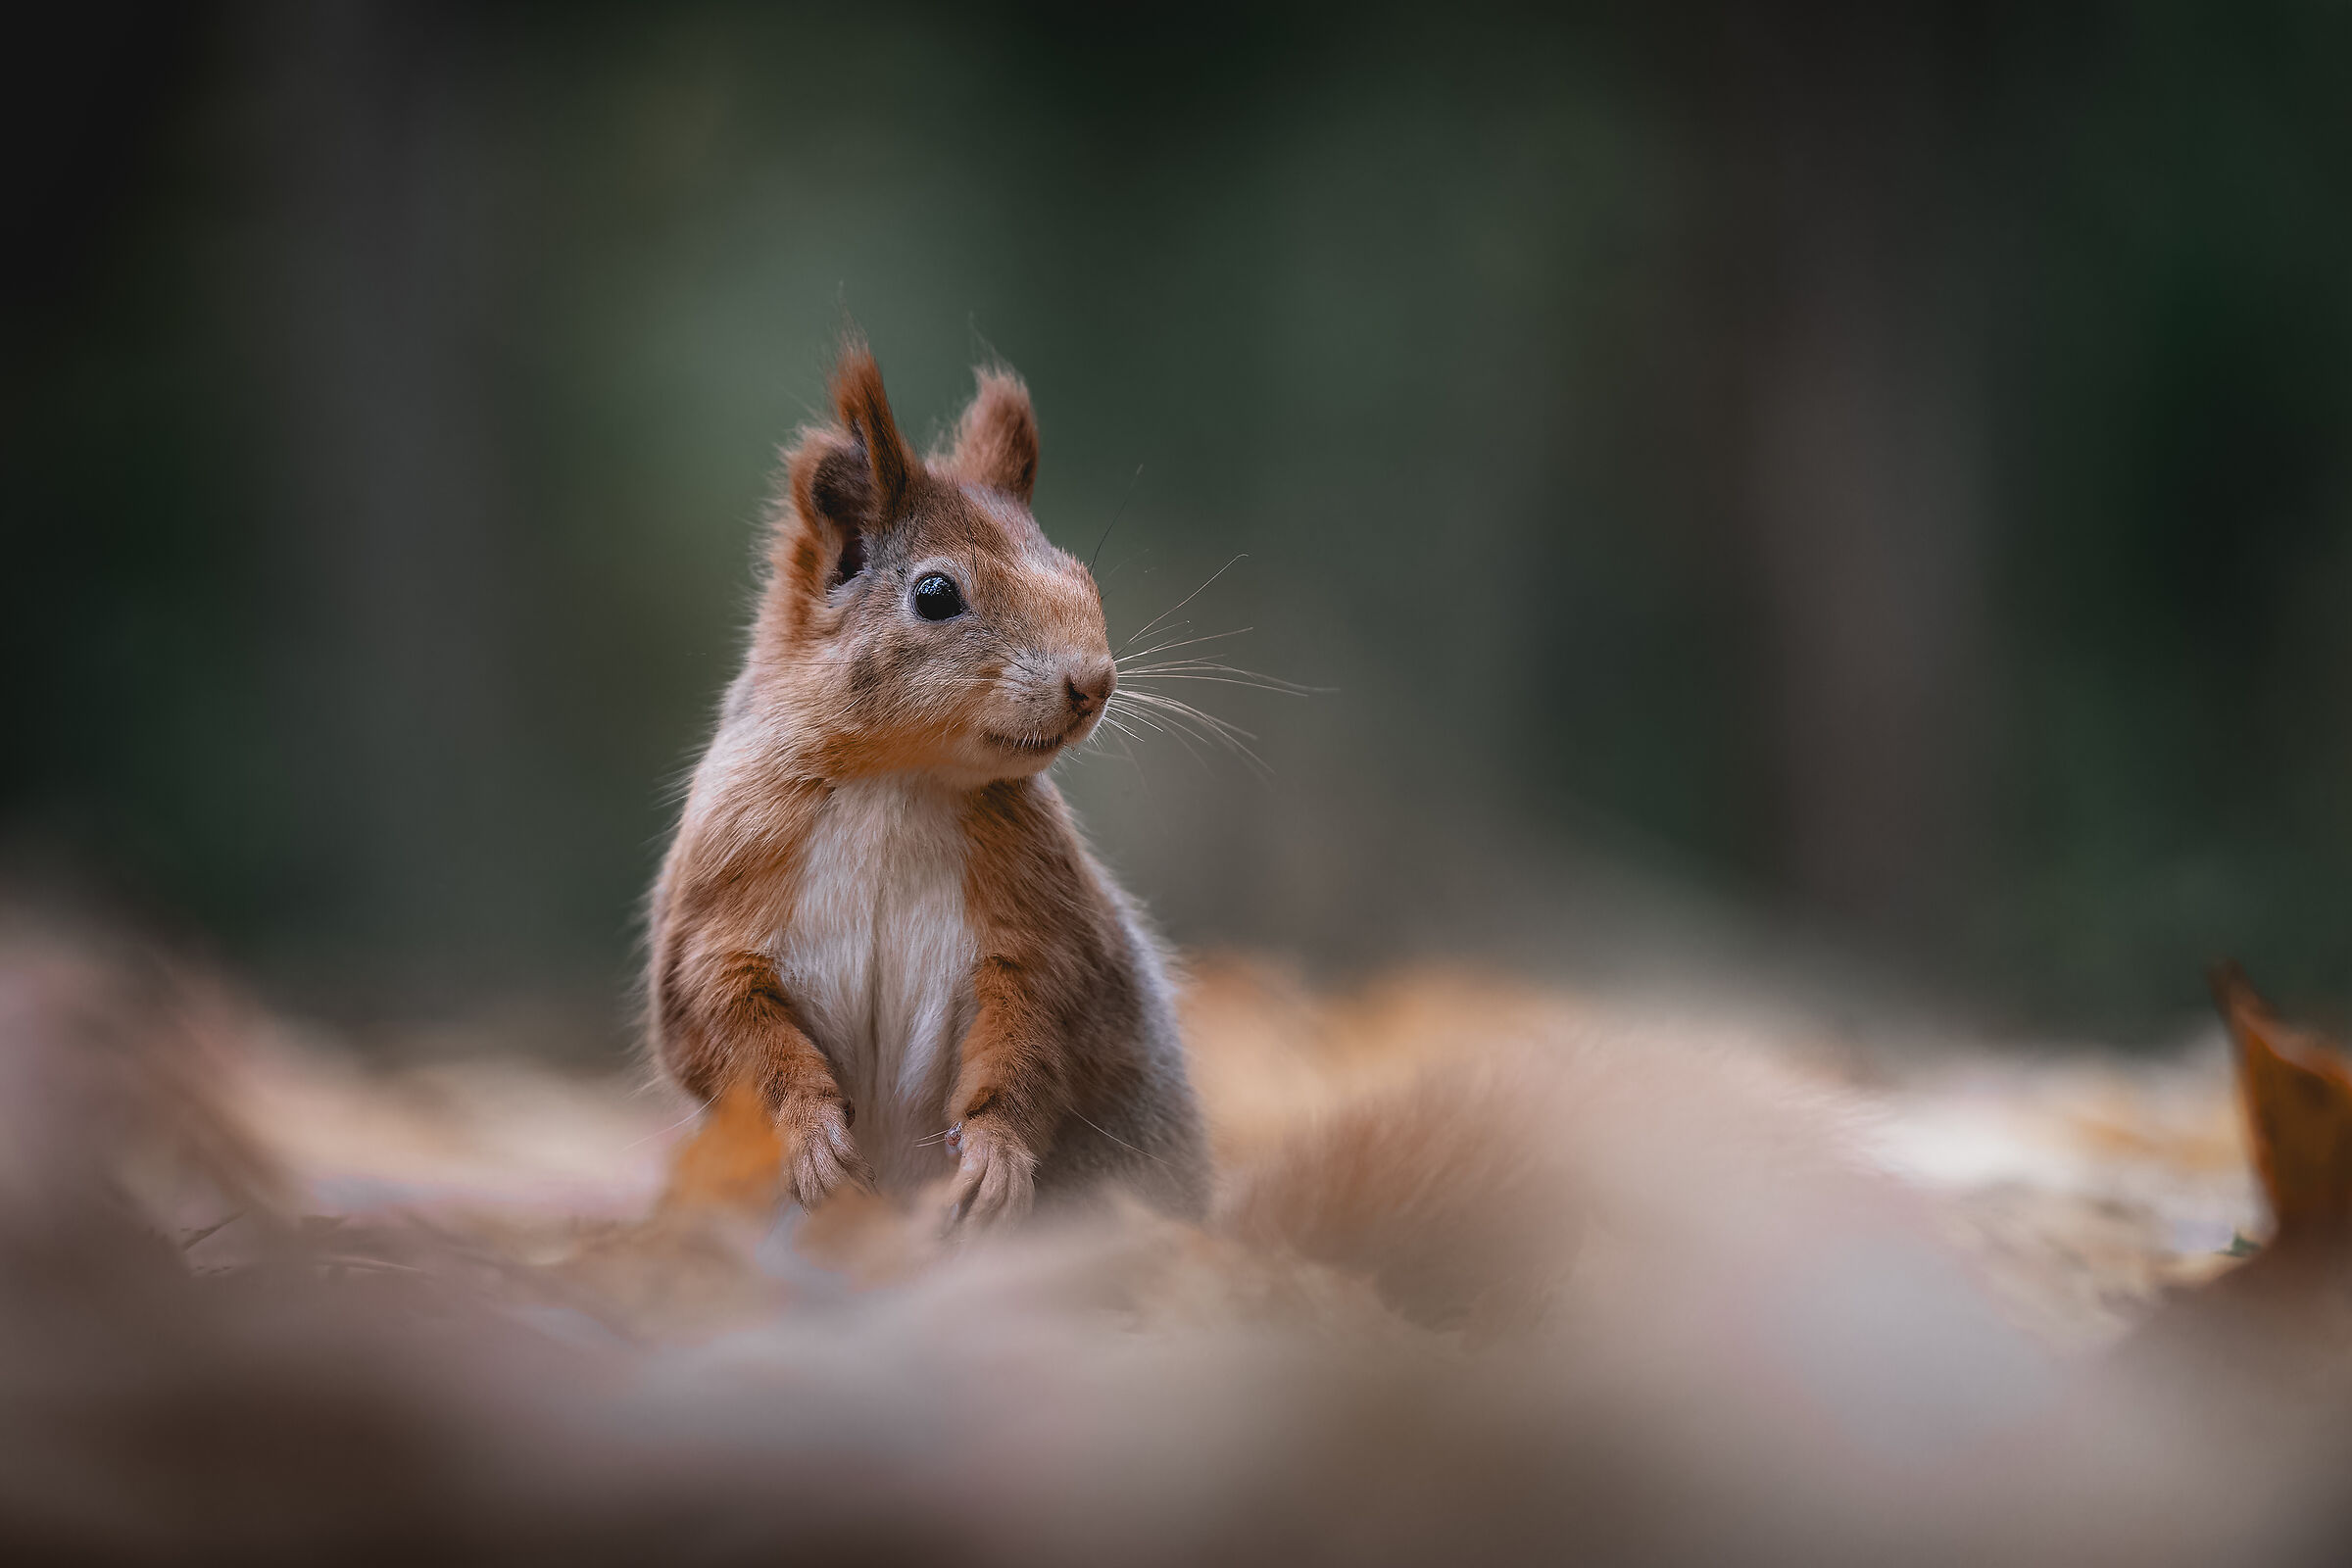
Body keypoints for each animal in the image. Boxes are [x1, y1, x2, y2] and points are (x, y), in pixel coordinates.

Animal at [646, 336, 1210, 1229]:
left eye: (1081, 575)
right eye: (936, 594)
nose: (1095, 682)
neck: (897, 782)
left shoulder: (1040, 917)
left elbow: (1035, 1029)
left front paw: (994, 1156)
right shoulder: (720, 891)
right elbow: (727, 1027)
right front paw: (811, 1140)